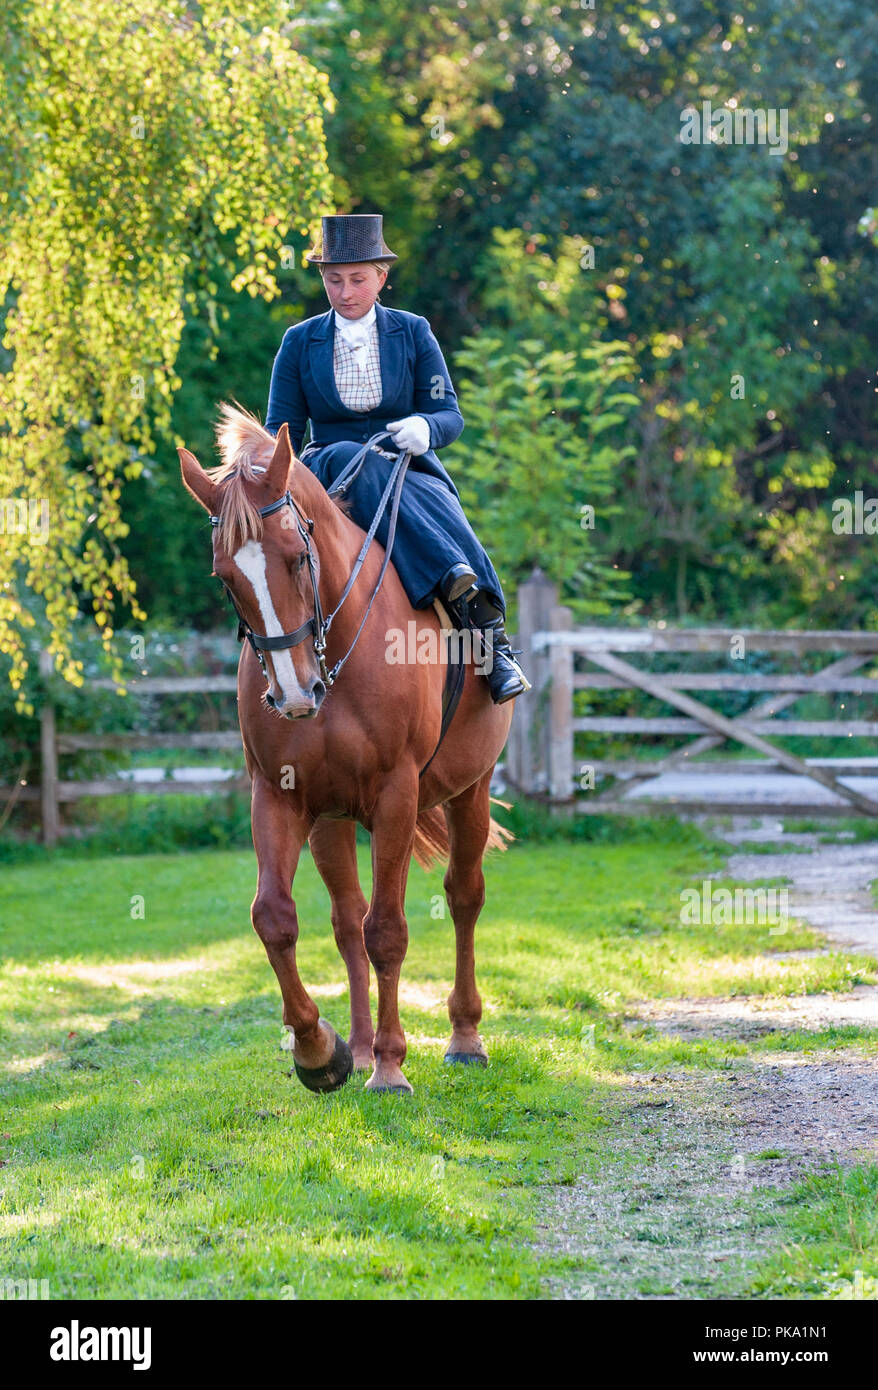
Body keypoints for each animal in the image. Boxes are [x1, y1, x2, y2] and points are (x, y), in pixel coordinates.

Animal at [180, 405, 514, 1095]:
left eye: (296, 558)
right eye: (226, 579)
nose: (293, 693)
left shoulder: (396, 797)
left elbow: (387, 930)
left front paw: (390, 1067)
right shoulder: (279, 797)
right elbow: (276, 918)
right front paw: (321, 1052)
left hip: (470, 789)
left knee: (463, 897)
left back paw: (463, 1037)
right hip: (331, 821)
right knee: (345, 921)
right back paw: (357, 1048)